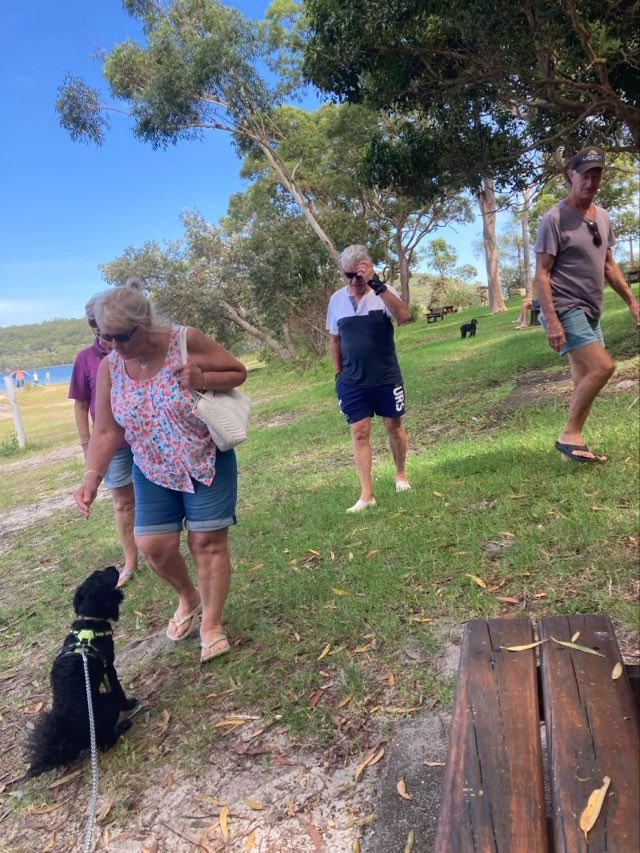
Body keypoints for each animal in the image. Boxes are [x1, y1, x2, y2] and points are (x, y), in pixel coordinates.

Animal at [27, 566, 137, 776]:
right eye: (103, 576)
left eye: (97, 573)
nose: (113, 566)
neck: (89, 624)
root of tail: (66, 740)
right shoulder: (109, 668)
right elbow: (119, 689)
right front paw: (129, 704)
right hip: (107, 702)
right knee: (104, 743)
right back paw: (123, 726)